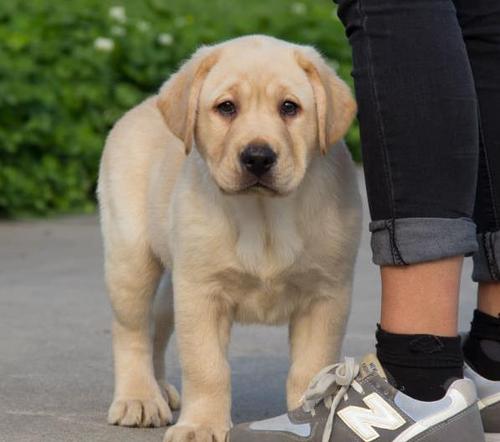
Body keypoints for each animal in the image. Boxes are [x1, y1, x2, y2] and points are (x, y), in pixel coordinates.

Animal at [98, 35, 360, 442]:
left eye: (289, 107)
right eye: (226, 107)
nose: (258, 157)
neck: (263, 214)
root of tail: (143, 105)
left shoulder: (326, 295)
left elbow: (311, 369)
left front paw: (307, 418)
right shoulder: (201, 293)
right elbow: (206, 367)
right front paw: (201, 425)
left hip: (175, 282)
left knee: (157, 324)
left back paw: (160, 389)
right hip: (132, 261)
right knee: (133, 331)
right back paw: (139, 398)